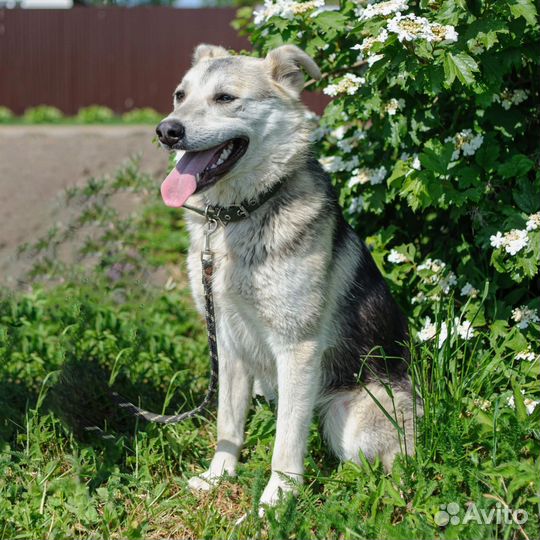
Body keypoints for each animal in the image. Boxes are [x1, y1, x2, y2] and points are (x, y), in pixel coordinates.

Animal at [156, 44, 418, 508]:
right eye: (179, 96)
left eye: (225, 98)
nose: (167, 131)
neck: (238, 215)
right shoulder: (227, 340)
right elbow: (227, 422)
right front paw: (219, 476)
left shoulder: (297, 347)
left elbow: (287, 441)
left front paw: (277, 500)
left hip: (350, 419)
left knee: (390, 463)